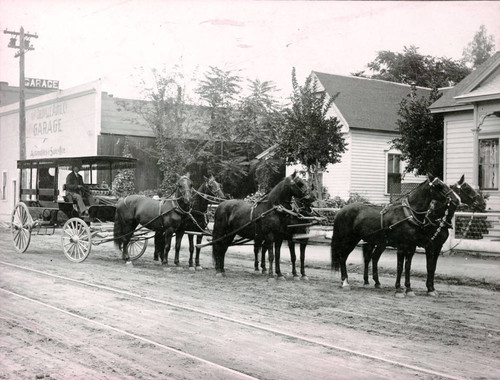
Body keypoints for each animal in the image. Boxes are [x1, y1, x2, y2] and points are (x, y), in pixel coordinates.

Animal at [332, 174, 460, 296]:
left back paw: (372, 282)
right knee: (343, 257)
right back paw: (345, 282)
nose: (457, 199)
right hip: (350, 240)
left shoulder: (413, 246)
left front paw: (409, 289)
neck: (408, 214)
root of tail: (341, 210)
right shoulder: (407, 246)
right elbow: (401, 267)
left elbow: (409, 267)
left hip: (374, 242)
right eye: (439, 186)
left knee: (370, 258)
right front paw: (399, 290)